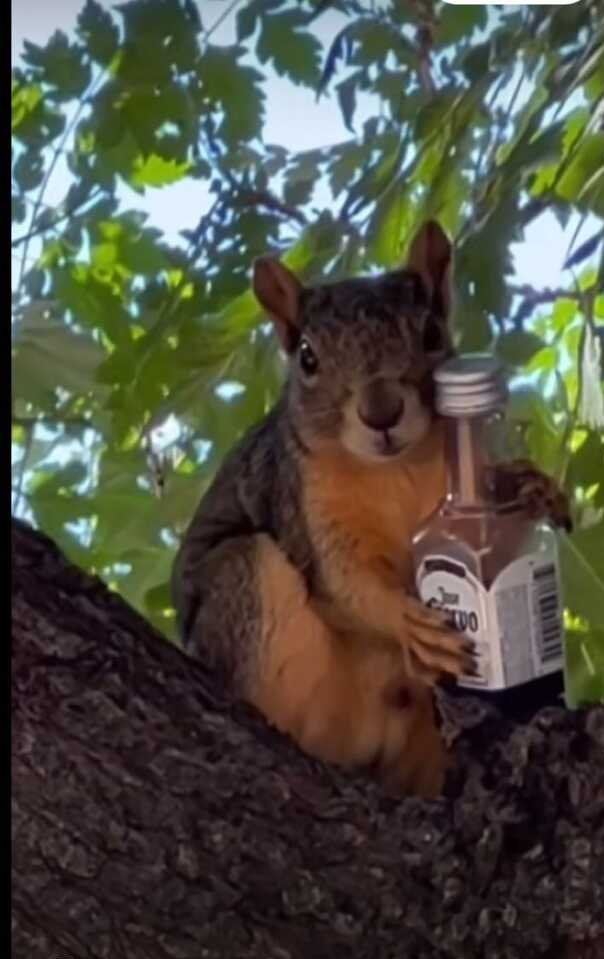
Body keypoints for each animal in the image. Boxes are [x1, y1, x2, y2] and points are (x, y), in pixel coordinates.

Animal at [172, 220, 571, 797]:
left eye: (431, 334)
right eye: (307, 357)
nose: (381, 413)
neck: (394, 471)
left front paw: (532, 485)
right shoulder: (306, 509)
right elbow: (345, 583)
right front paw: (409, 623)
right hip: (241, 585)